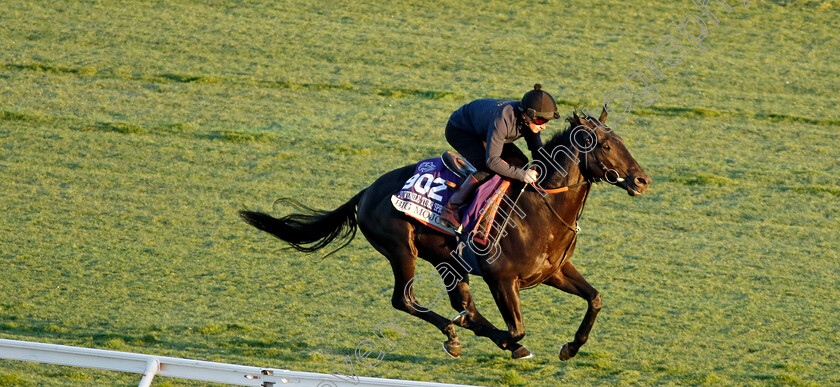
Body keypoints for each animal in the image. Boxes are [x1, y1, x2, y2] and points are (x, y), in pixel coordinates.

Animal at [240, 108, 652, 360]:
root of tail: (367, 191)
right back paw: (456, 333)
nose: (642, 181)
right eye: (606, 145)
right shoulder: (502, 279)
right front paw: (504, 339)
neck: (541, 209)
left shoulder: (554, 272)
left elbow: (595, 299)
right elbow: (517, 329)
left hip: (443, 257)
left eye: (621, 141)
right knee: (404, 300)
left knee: (457, 301)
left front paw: (570, 347)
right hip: (401, 250)